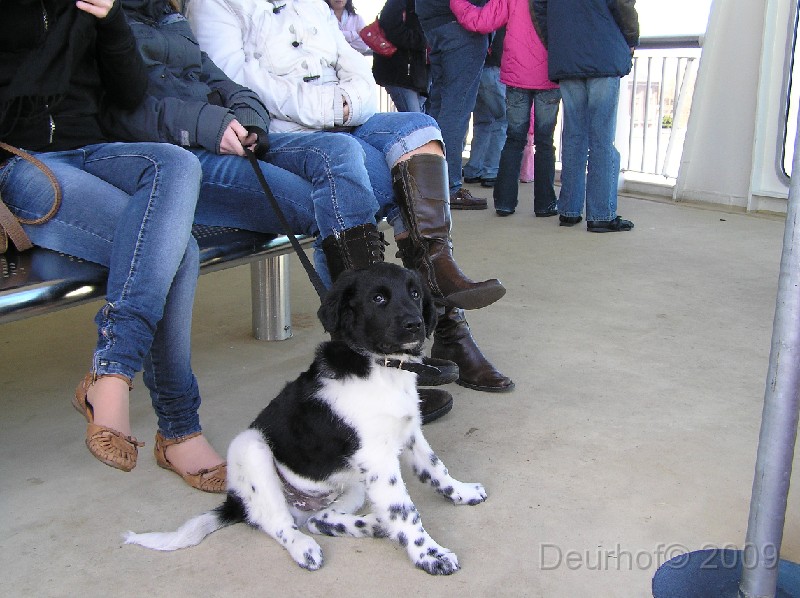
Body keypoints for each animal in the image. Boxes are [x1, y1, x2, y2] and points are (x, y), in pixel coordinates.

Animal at [125, 262, 488, 576]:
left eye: (414, 293)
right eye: (379, 298)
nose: (416, 324)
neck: (381, 368)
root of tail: (237, 502)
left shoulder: (409, 433)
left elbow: (436, 469)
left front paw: (462, 492)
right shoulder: (378, 460)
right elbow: (406, 511)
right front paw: (430, 555)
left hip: (352, 485)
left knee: (319, 519)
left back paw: (372, 524)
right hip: (252, 448)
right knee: (276, 523)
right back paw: (304, 548)